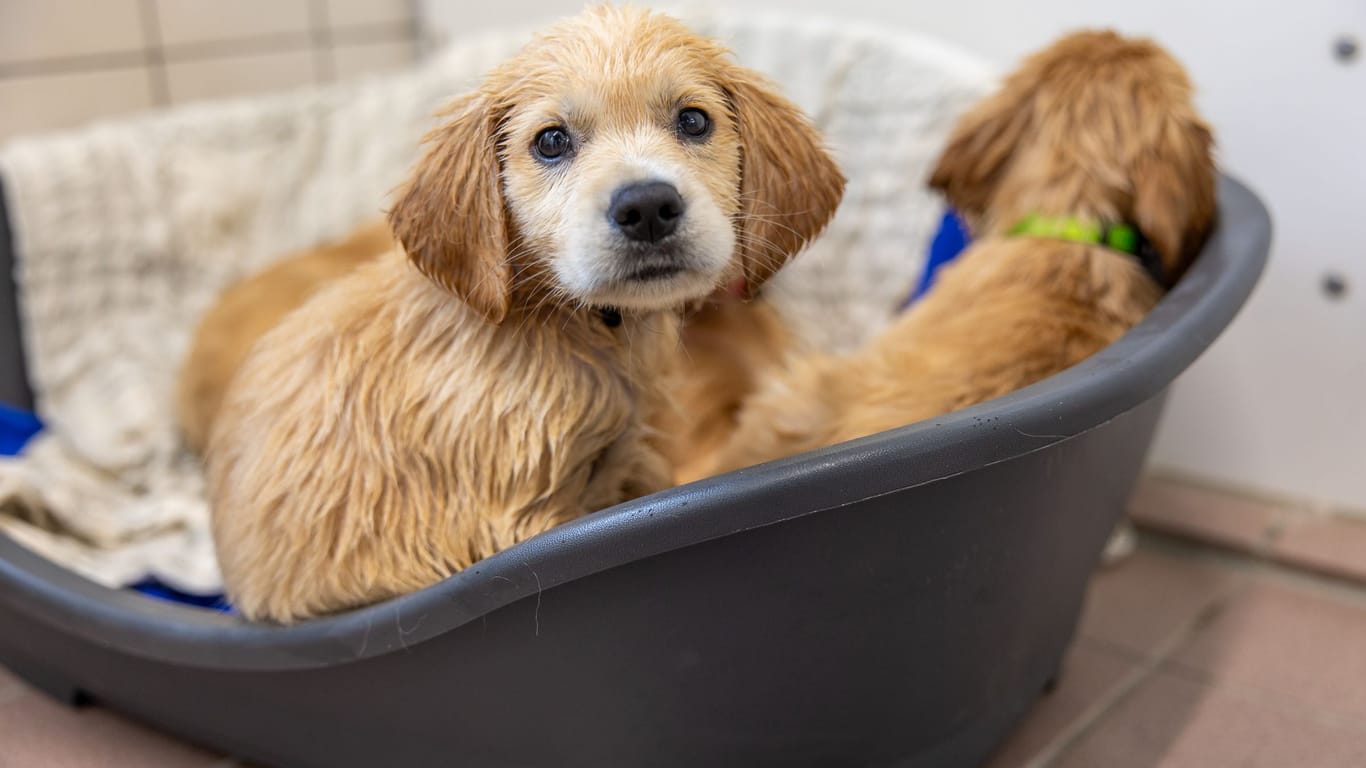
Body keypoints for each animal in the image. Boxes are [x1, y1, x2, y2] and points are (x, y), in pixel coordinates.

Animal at [204, 7, 841, 623]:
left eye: (693, 121)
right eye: (551, 141)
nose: (647, 207)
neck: (564, 323)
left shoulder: (636, 453)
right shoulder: (514, 522)